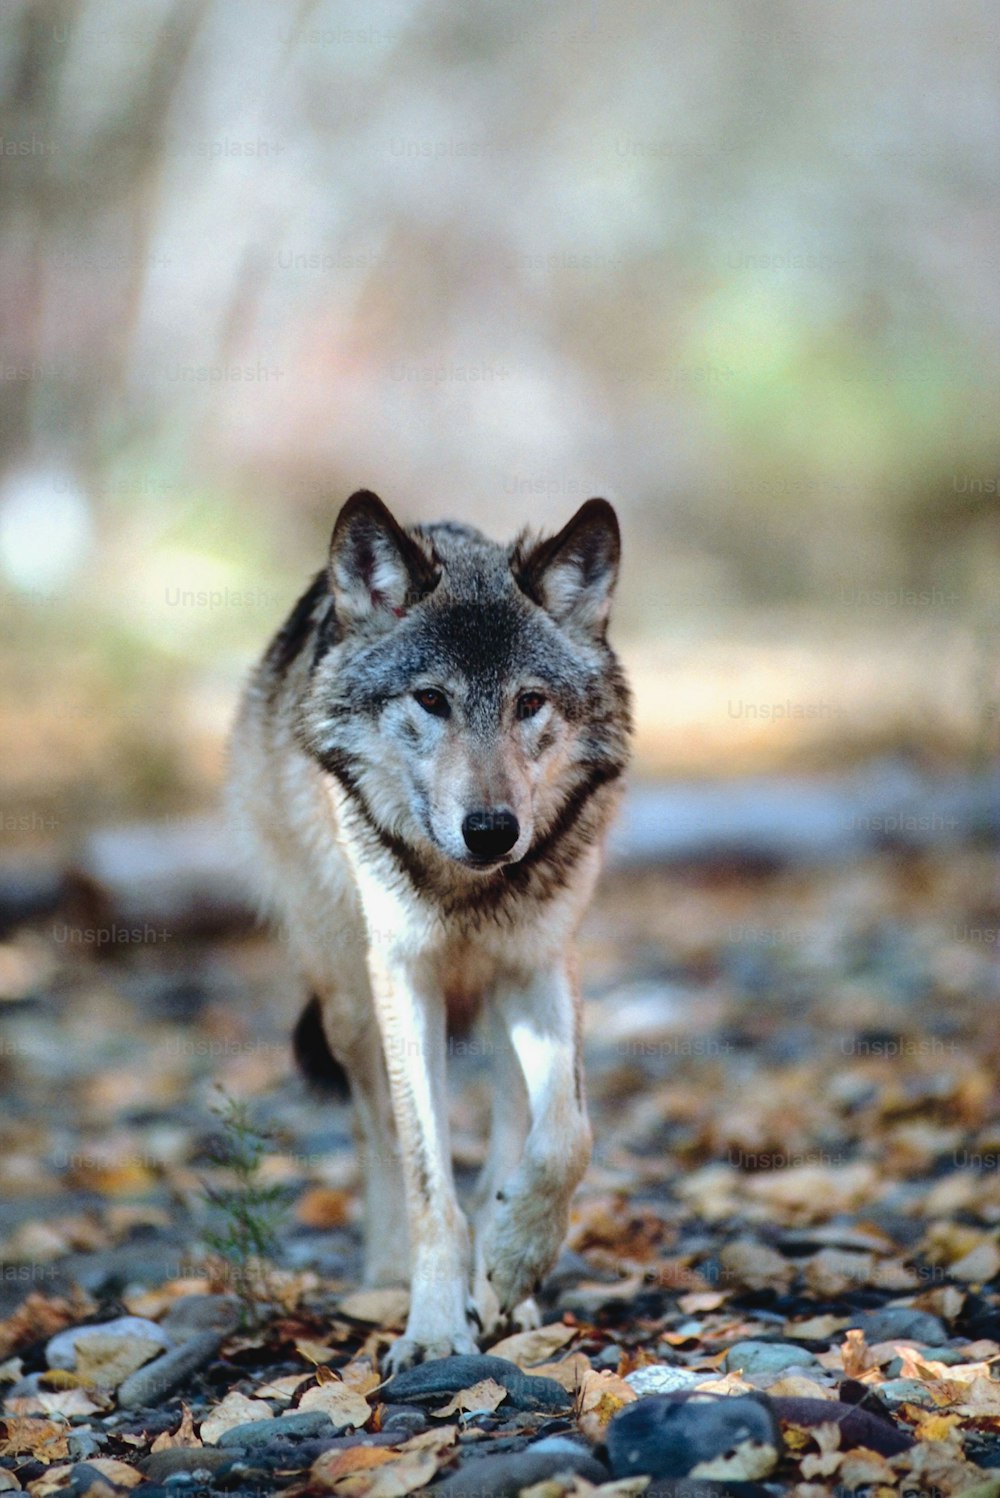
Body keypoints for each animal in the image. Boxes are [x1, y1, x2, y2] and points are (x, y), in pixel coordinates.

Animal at [227, 494, 631, 1372]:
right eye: (432, 701)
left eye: (528, 703)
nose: (492, 830)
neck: (467, 891)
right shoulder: (404, 978)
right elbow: (424, 1176)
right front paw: (437, 1328)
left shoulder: (541, 962)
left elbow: (568, 1135)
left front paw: (515, 1254)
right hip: (348, 999)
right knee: (373, 1127)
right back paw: (388, 1276)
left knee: (516, 1129)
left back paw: (509, 1283)